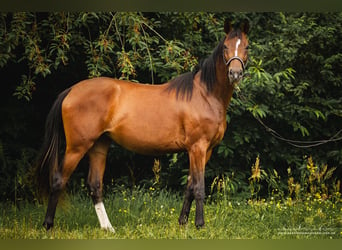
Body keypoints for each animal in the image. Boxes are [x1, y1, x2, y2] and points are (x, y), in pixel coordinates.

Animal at [36, 18, 248, 231]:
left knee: (94, 185)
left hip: (99, 146)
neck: (205, 94)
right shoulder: (198, 148)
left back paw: (108, 228)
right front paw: (200, 225)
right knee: (59, 180)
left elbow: (189, 186)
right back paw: (48, 224)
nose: (235, 73)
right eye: (225, 47)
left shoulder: (204, 150)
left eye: (246, 47)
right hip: (77, 147)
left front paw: (182, 223)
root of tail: (71, 90)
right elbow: (198, 187)